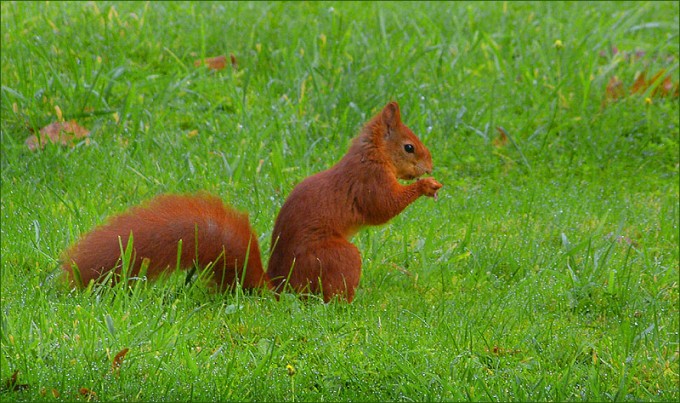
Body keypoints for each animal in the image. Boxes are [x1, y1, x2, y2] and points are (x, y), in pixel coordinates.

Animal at [62, 101, 442, 302]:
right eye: (409, 147)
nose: (430, 165)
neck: (372, 155)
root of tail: (279, 287)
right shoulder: (368, 182)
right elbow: (382, 208)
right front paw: (425, 186)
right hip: (337, 257)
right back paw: (349, 302)